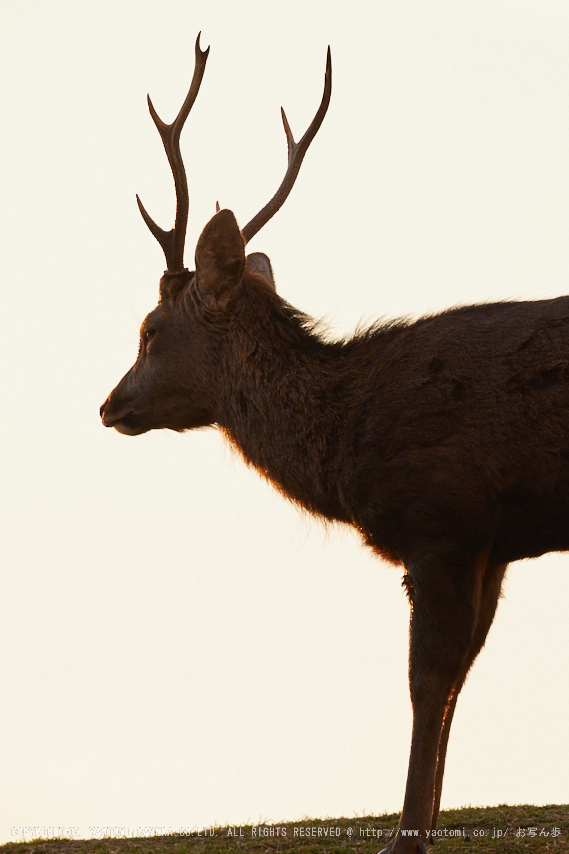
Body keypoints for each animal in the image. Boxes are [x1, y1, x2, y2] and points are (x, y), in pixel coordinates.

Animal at [100, 36, 568, 854]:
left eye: (149, 332)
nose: (108, 404)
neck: (346, 433)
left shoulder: (444, 520)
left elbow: (427, 681)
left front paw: (405, 837)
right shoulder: (494, 546)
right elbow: (459, 679)